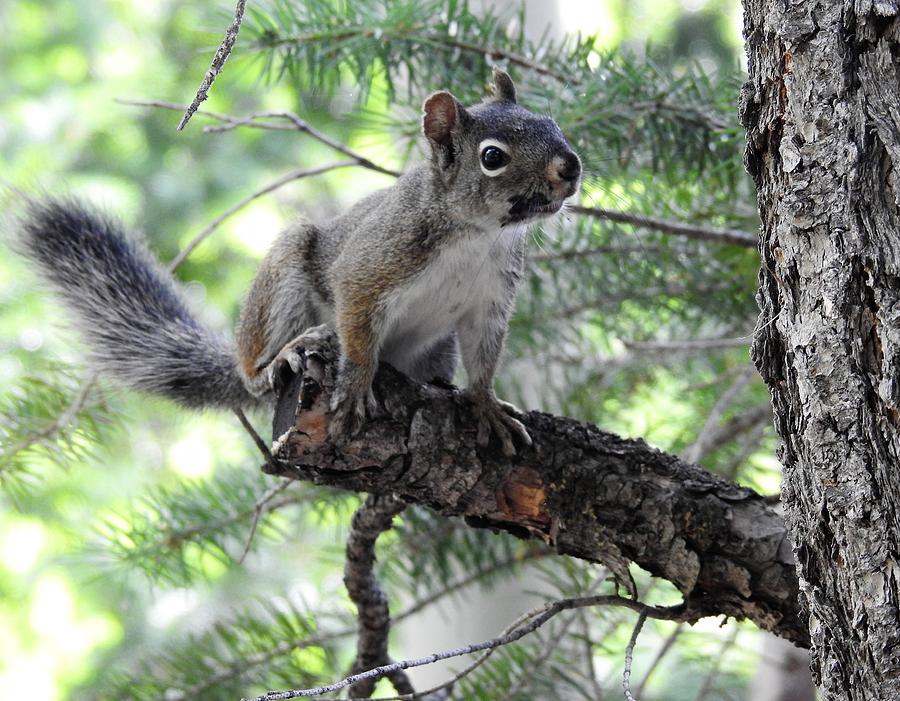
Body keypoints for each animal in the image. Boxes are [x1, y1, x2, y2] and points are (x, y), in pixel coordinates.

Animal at [24, 68, 584, 456]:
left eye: (552, 122)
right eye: (492, 157)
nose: (571, 166)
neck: (478, 237)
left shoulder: (490, 299)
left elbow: (486, 358)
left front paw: (485, 404)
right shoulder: (371, 268)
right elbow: (358, 334)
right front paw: (355, 390)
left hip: (434, 349)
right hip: (285, 278)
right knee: (255, 371)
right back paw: (285, 354)